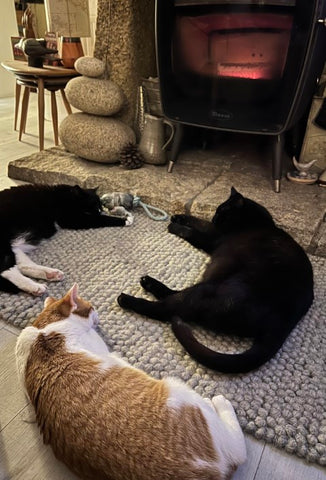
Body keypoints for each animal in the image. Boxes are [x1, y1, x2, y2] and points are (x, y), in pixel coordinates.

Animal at [0, 184, 132, 296]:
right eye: (94, 205)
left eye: (100, 204)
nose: (101, 210)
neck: (66, 196)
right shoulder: (72, 218)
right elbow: (103, 219)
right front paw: (125, 220)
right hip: (4, 246)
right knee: (6, 271)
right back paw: (36, 287)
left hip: (14, 249)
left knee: (22, 265)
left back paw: (51, 275)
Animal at [15, 284, 244, 480]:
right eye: (91, 307)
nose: (97, 313)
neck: (44, 329)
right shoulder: (108, 353)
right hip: (180, 392)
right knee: (238, 451)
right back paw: (219, 402)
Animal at [118, 188, 314, 376]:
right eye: (216, 211)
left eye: (222, 212)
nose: (215, 217)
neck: (257, 222)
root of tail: (283, 321)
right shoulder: (215, 231)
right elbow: (200, 221)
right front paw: (179, 216)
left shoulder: (214, 239)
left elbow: (193, 230)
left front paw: (174, 224)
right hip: (208, 286)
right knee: (171, 298)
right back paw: (148, 283)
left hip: (206, 290)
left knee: (166, 309)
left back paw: (127, 299)